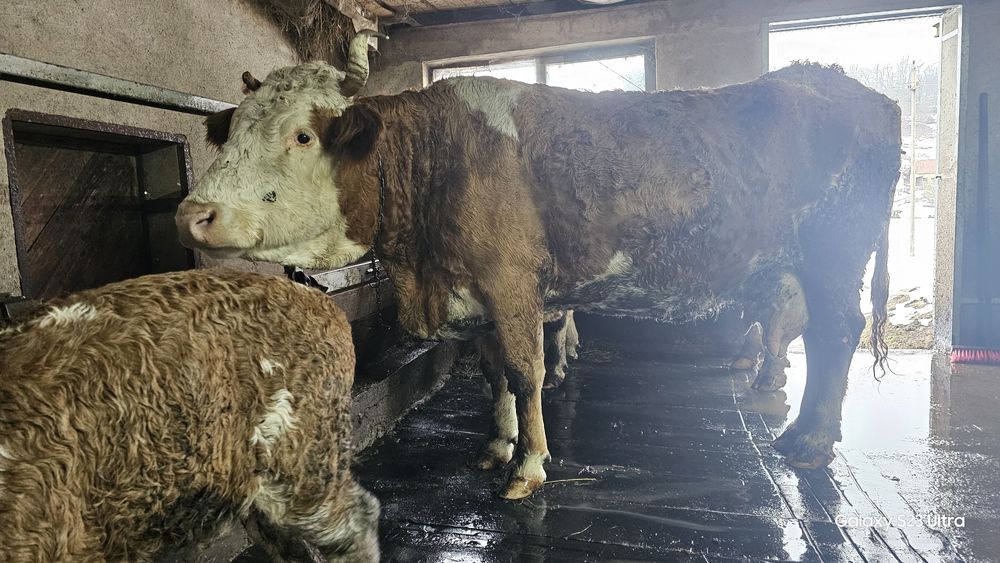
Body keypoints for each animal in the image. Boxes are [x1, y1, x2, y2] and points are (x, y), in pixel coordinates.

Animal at [175, 33, 900, 499]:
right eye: (234, 129)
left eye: (302, 134)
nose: (194, 213)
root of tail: (834, 79)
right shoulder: (476, 299)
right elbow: (494, 373)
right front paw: (496, 445)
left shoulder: (512, 287)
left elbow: (528, 374)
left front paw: (528, 465)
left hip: (833, 256)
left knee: (835, 334)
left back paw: (809, 440)